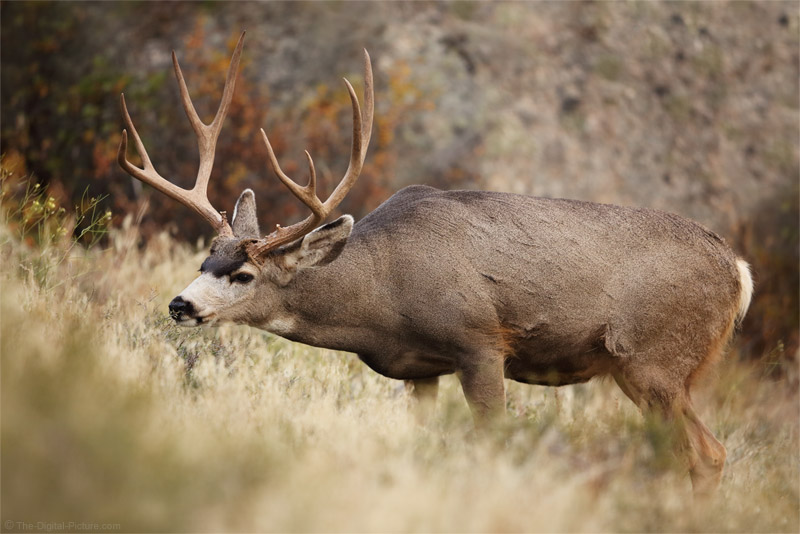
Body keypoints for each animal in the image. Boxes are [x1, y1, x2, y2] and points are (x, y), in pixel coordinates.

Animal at [115, 31, 752, 496]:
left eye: (244, 274)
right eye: (205, 258)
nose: (179, 304)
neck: (383, 293)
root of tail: (738, 270)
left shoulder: (481, 343)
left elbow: (493, 441)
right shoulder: (418, 370)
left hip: (655, 358)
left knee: (708, 453)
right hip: (642, 370)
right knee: (690, 453)